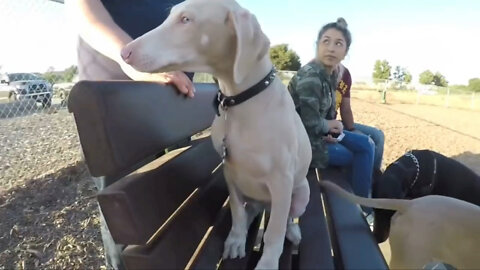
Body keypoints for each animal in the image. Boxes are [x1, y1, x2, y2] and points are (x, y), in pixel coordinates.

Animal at [121, 0, 312, 268]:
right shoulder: (230, 171)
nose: (124, 52)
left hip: (301, 191)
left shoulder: (281, 179)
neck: (239, 103)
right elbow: (237, 211)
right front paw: (236, 239)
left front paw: (267, 262)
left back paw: (292, 231)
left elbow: (274, 231)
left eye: (186, 19)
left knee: (288, 217)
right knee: (252, 210)